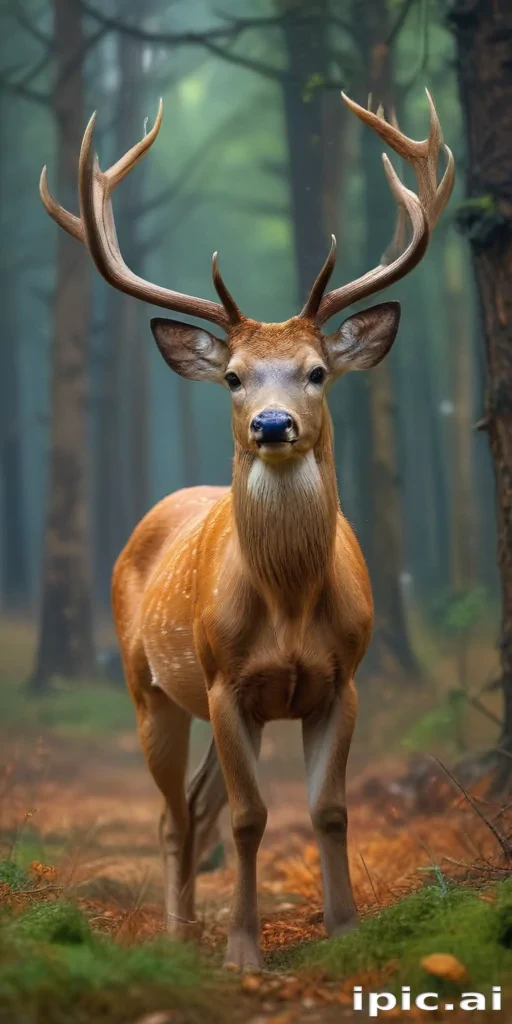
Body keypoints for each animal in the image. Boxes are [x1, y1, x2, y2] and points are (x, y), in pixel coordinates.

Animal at [39, 89, 453, 971]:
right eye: (232, 376)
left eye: (318, 371)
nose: (271, 423)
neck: (290, 607)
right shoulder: (227, 679)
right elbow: (251, 817)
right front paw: (243, 952)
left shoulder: (343, 677)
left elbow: (326, 810)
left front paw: (344, 931)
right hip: (150, 684)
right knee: (175, 813)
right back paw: (177, 932)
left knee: (195, 805)